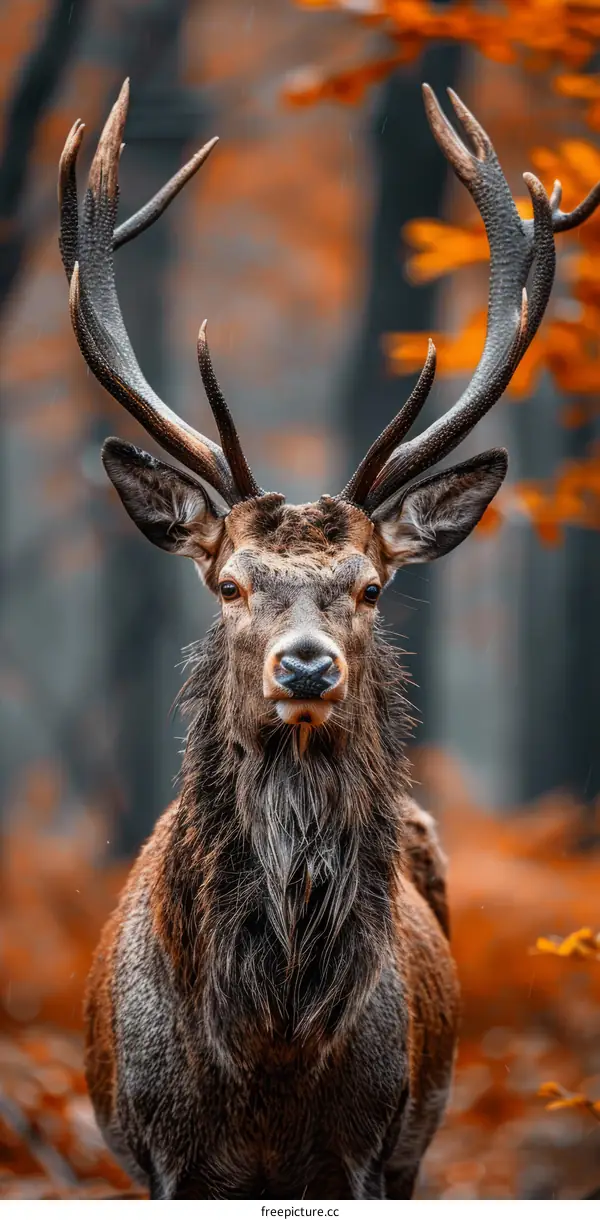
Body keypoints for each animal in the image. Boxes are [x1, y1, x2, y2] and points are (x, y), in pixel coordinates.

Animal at [58, 79, 600, 1200]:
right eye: (228, 584)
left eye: (370, 587)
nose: (306, 664)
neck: (272, 1050)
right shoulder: (160, 1147)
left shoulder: (366, 1141)